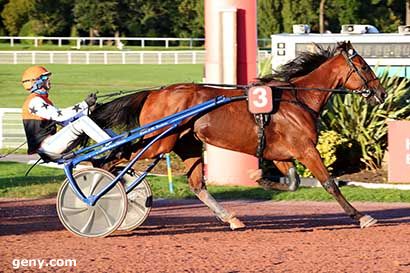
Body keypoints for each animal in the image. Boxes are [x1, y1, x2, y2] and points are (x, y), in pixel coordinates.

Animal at [91, 41, 386, 230]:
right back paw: (97, 194)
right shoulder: (305, 149)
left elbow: (292, 183)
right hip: (158, 143)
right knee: (113, 157)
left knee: (198, 185)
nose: (381, 93)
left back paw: (231, 218)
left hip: (186, 144)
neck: (298, 99)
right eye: (365, 67)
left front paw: (260, 178)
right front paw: (361, 217)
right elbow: (330, 184)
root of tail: (153, 92)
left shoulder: (282, 154)